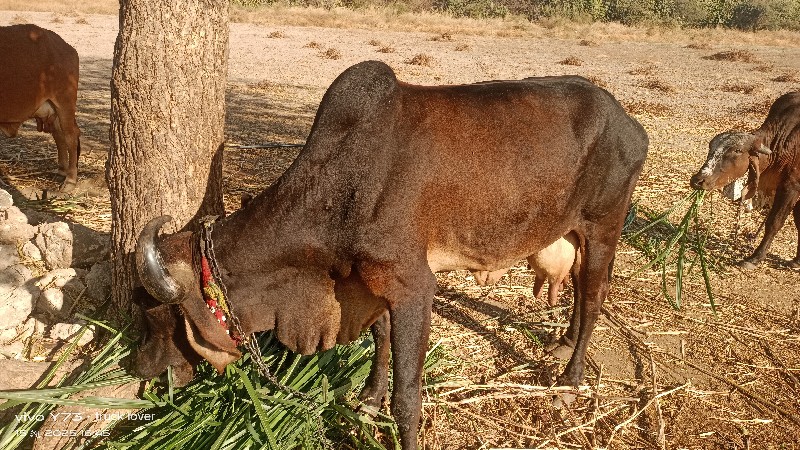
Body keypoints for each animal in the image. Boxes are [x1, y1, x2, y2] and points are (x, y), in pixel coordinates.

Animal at [0, 24, 81, 192]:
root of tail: (67, 48)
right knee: (59, 134)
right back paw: (61, 171)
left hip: (64, 102)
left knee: (71, 135)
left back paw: (70, 180)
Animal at [131, 60, 648, 450]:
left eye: (157, 315)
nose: (139, 367)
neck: (341, 186)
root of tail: (630, 124)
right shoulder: (368, 284)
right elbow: (379, 343)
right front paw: (367, 399)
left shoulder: (412, 286)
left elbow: (408, 397)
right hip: (577, 234)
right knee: (580, 293)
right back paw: (563, 344)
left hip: (603, 228)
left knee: (593, 298)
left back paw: (569, 381)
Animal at [688, 90, 800, 268]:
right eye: (710, 148)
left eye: (737, 150)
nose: (698, 180)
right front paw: (797, 260)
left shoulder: (791, 187)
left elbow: (774, 222)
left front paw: (755, 258)